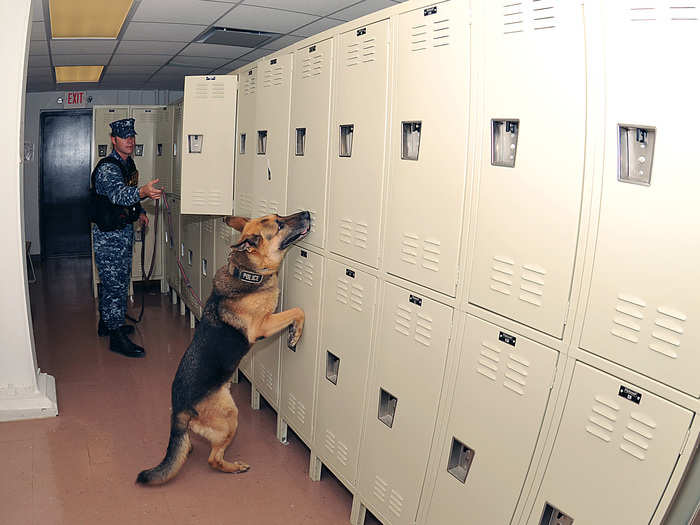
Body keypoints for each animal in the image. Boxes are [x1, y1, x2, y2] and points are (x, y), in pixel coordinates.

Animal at [136, 211, 308, 486]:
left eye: (279, 215)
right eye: (280, 224)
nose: (308, 214)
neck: (246, 272)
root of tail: (180, 410)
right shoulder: (263, 325)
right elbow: (297, 311)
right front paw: (295, 334)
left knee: (188, 445)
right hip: (230, 417)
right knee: (213, 459)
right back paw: (233, 467)